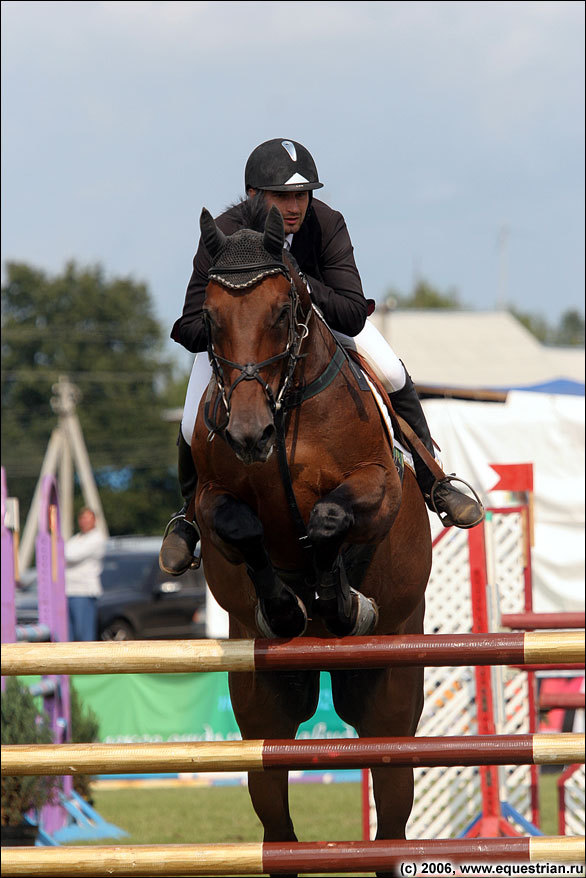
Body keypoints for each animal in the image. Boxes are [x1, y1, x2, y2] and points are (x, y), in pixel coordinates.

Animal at [190, 208, 428, 872]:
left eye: (282, 310)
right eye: (210, 318)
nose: (249, 433)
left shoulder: (378, 485)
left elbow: (327, 520)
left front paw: (341, 600)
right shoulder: (213, 496)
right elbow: (242, 528)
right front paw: (284, 607)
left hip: (389, 688)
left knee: (392, 808)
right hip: (262, 705)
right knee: (276, 816)